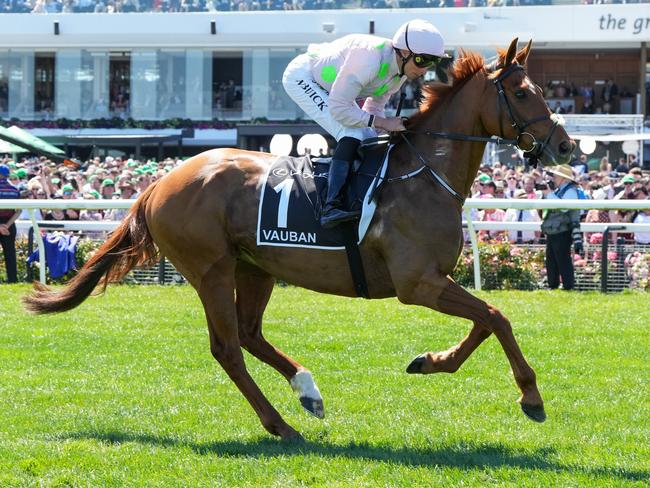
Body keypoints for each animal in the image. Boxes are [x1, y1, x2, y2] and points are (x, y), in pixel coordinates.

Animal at [24, 40, 572, 440]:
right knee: (228, 347)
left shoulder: (433, 281)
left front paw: (429, 362)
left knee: (249, 334)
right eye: (523, 93)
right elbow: (497, 317)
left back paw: (307, 391)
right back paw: (280, 425)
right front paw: (531, 397)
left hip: (255, 266)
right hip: (211, 269)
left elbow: (485, 320)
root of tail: (160, 182)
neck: (423, 174)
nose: (565, 145)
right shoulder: (417, 283)